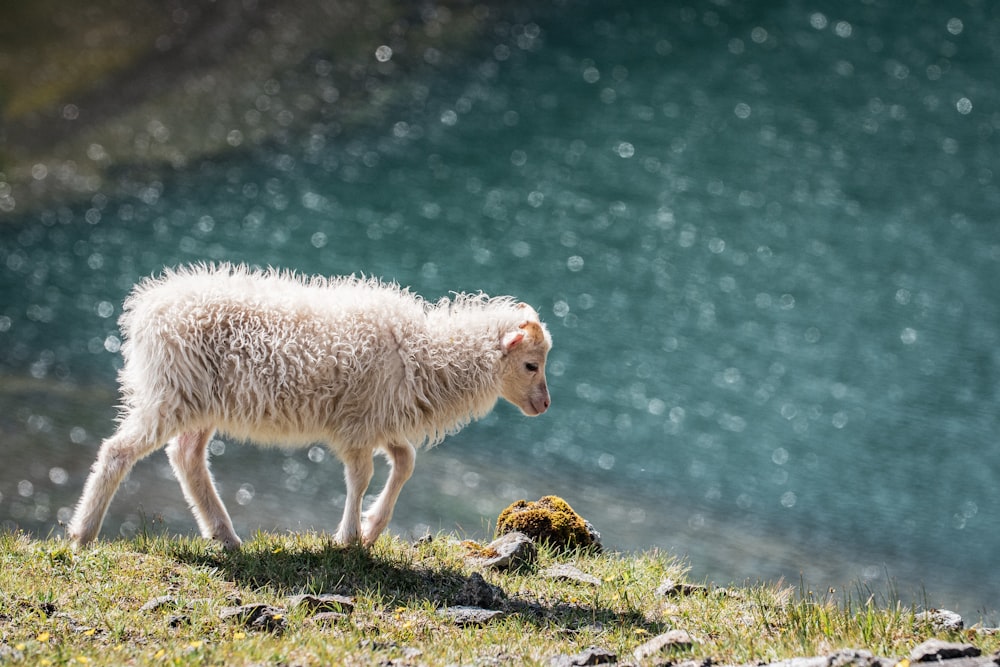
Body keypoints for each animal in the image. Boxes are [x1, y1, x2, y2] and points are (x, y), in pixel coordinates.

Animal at [68, 264, 556, 552]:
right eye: (531, 364)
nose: (546, 405)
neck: (425, 354)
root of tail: (144, 311)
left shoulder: (380, 421)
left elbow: (406, 462)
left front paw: (372, 527)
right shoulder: (357, 426)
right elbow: (362, 477)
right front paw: (348, 537)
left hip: (198, 402)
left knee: (186, 456)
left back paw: (224, 534)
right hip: (170, 393)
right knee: (118, 451)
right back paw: (82, 533)